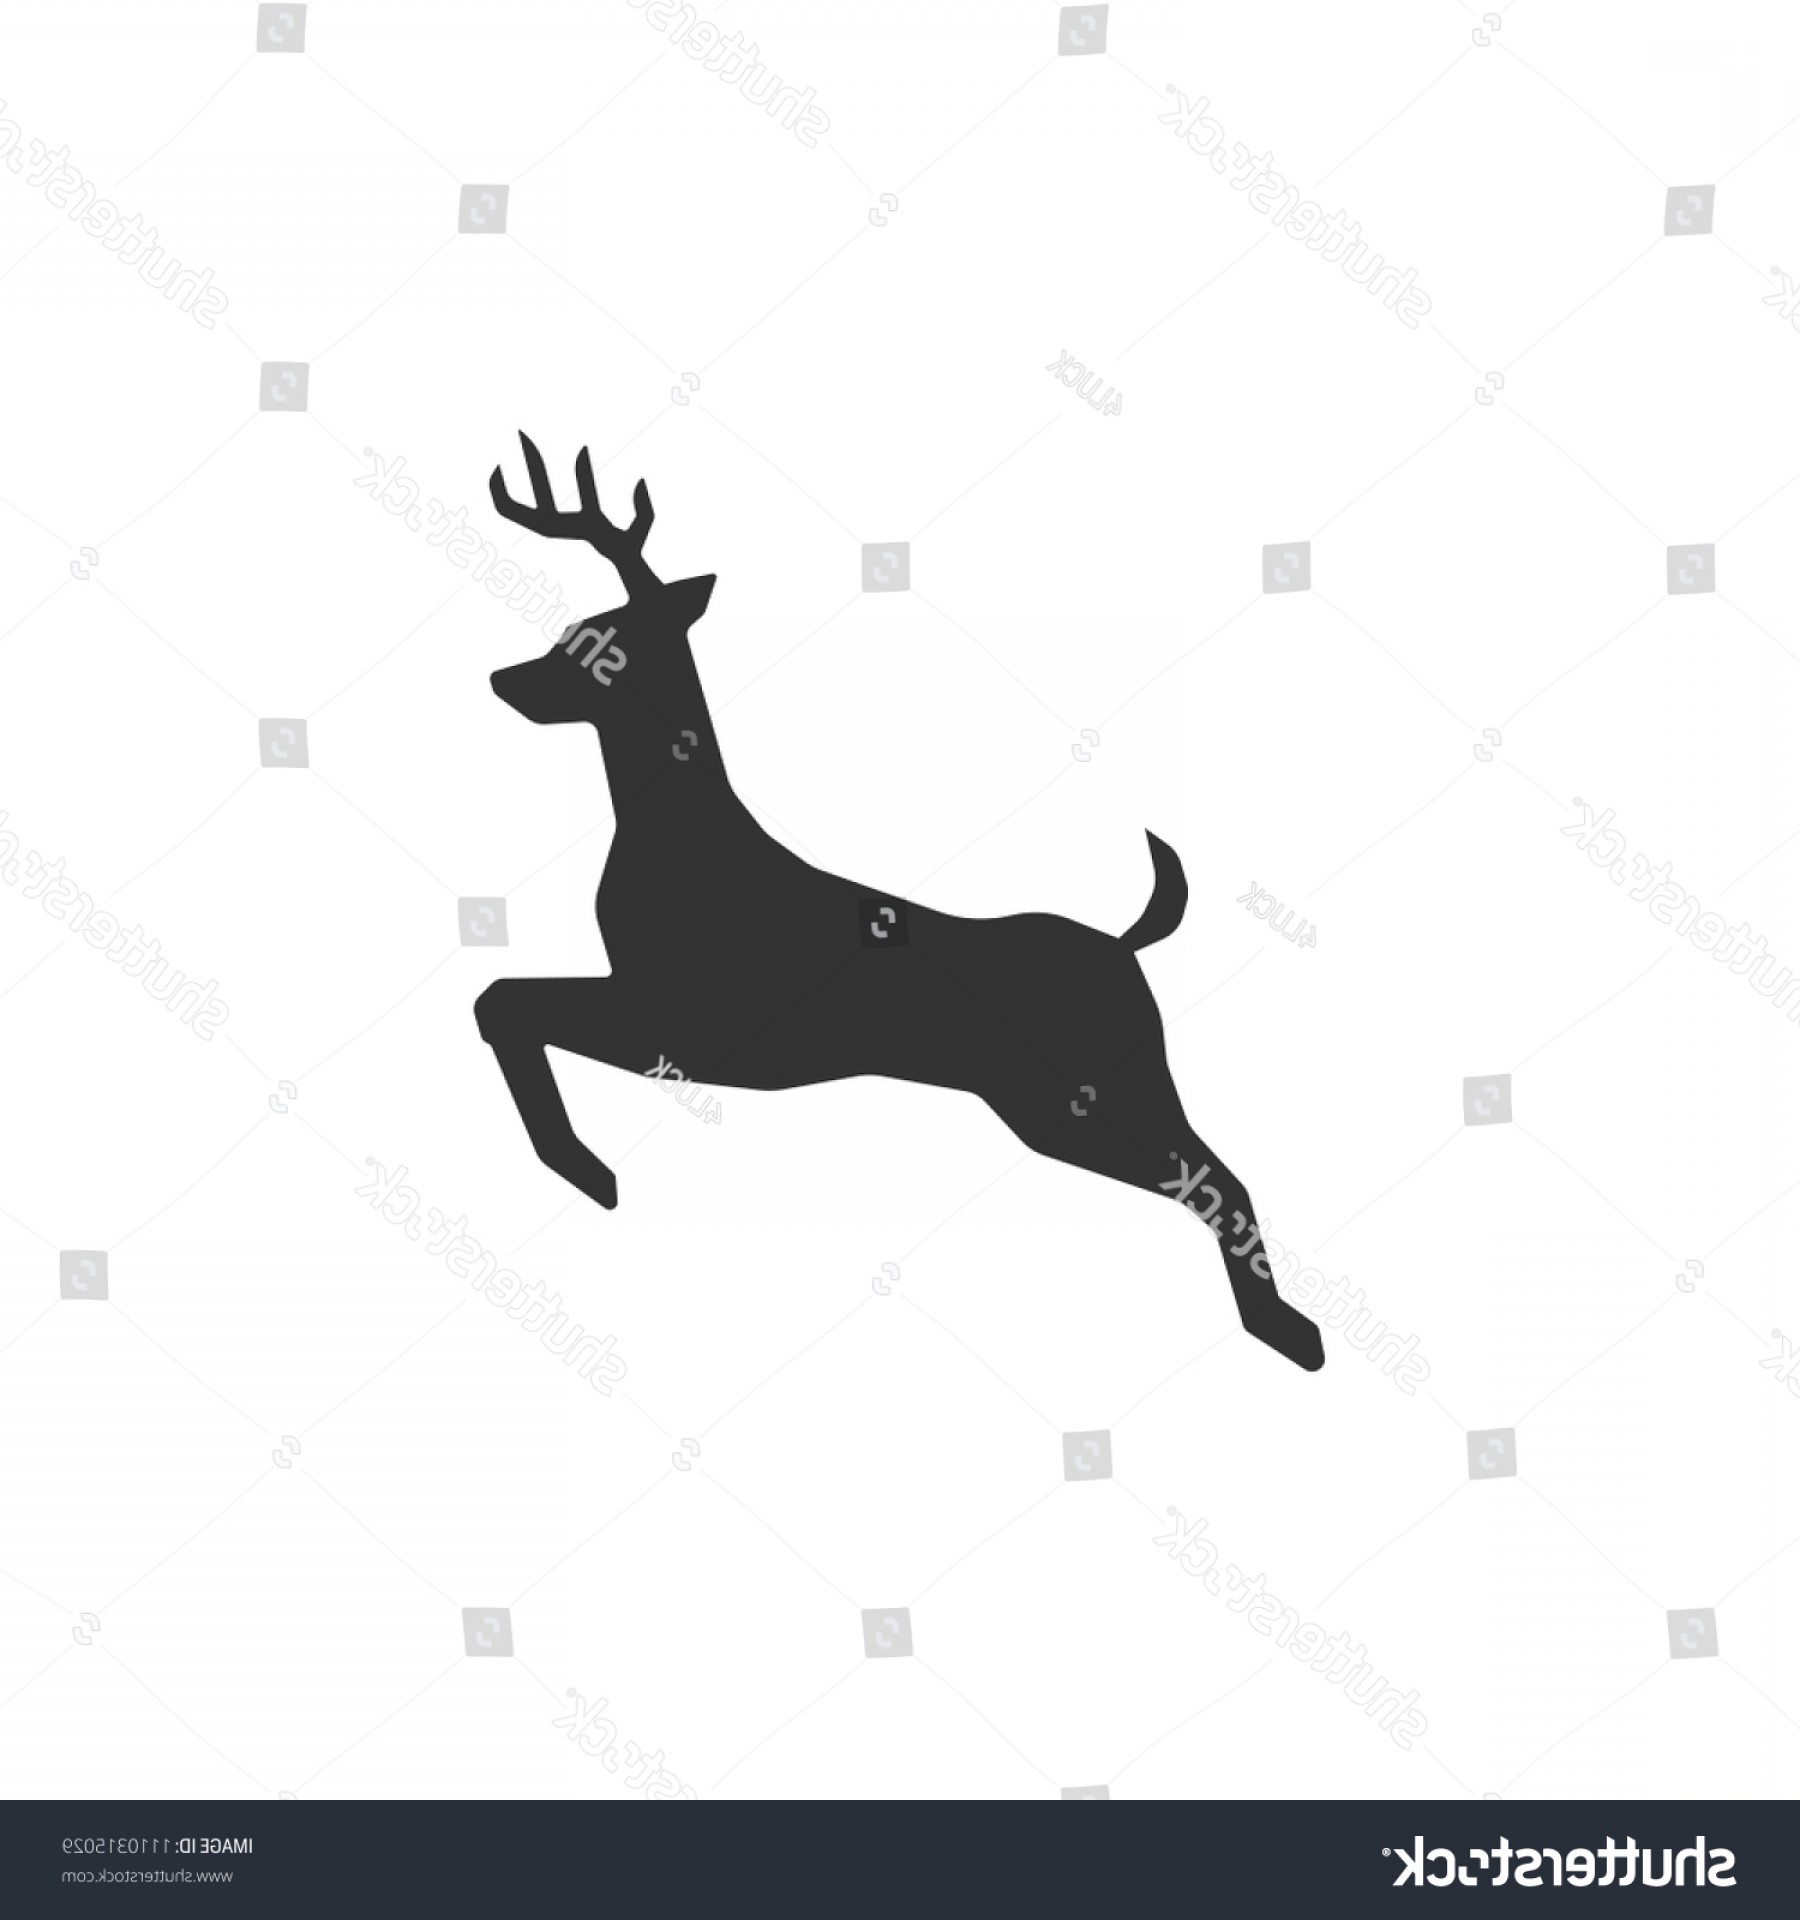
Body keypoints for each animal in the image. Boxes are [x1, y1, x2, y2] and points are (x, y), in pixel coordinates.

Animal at [474, 435, 1324, 1372]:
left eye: (587, 640)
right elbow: (501, 1001)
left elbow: (503, 1002)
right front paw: (582, 1166)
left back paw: (1292, 1334)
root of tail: (1122, 944)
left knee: (1217, 1176)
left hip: (1096, 1089)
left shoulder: (683, 1024)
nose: (504, 678)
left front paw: (586, 1168)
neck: (683, 845)